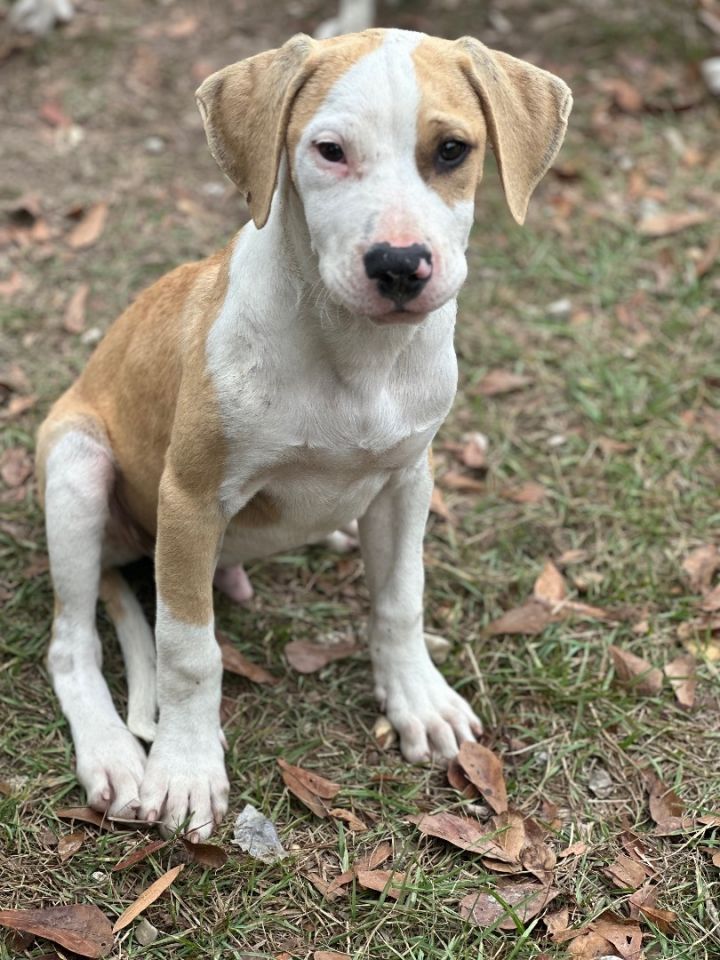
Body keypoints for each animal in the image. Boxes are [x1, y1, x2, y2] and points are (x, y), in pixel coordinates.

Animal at [36, 28, 572, 840]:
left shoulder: (408, 479)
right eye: (329, 151)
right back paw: (113, 756)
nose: (398, 265)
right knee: (71, 646)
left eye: (452, 150)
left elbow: (401, 597)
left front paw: (416, 698)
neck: (355, 353)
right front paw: (186, 770)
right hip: (76, 467)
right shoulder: (190, 499)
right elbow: (188, 650)